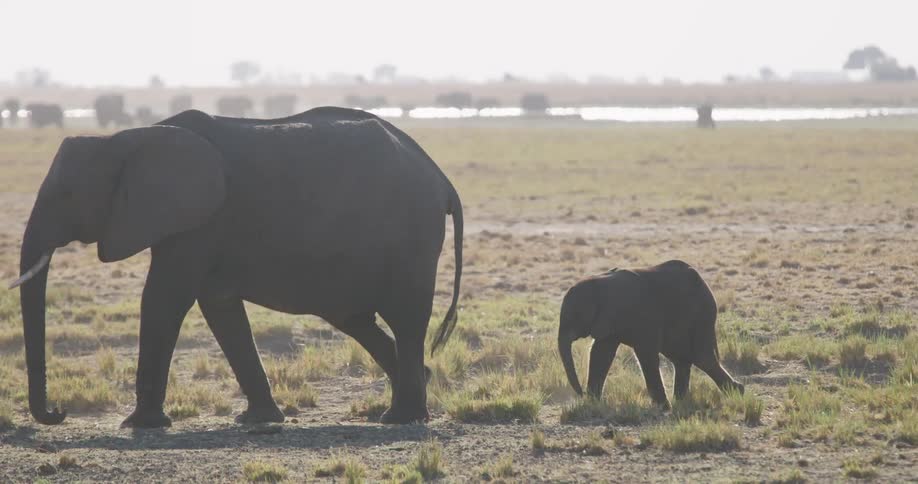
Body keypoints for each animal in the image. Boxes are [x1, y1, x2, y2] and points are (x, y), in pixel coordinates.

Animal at [12, 106, 463, 428]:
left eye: (68, 195)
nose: (58, 412)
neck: (128, 138)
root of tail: (442, 179)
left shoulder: (199, 221)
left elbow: (164, 298)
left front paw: (139, 425)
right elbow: (219, 305)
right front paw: (258, 420)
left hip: (412, 237)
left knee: (405, 318)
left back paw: (401, 418)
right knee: (356, 318)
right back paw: (414, 393)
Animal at [558, 260, 743, 409]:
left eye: (573, 317)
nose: (580, 393)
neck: (599, 284)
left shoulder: (640, 314)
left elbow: (645, 353)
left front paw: (662, 407)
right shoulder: (609, 320)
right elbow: (601, 354)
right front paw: (593, 403)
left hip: (701, 314)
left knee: (701, 357)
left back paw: (736, 392)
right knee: (682, 359)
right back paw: (682, 401)